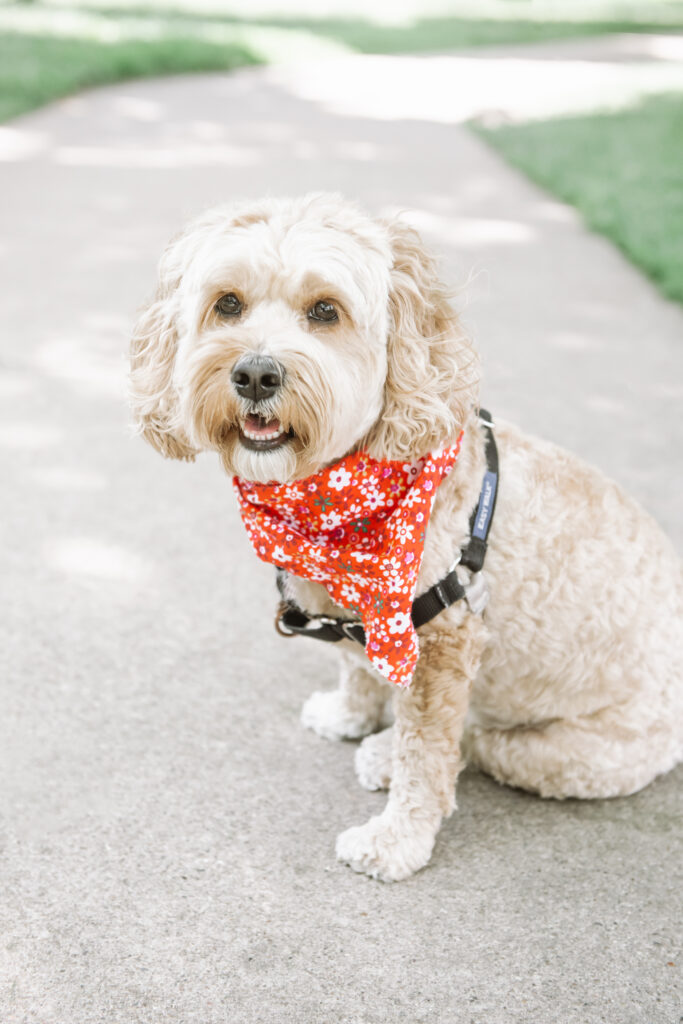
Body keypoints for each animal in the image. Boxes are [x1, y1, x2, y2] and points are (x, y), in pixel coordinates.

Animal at [129, 193, 683, 880]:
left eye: (325, 311)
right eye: (227, 303)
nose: (256, 374)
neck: (336, 502)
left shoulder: (443, 644)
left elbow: (428, 754)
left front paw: (396, 840)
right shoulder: (360, 610)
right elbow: (358, 668)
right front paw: (350, 715)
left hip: (566, 754)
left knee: (476, 741)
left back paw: (389, 755)